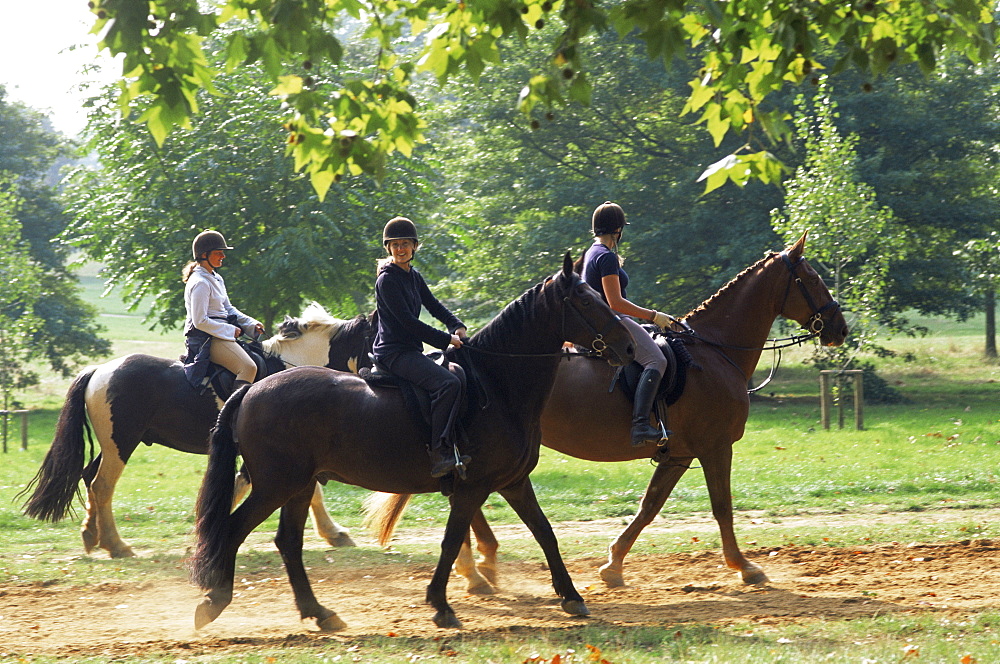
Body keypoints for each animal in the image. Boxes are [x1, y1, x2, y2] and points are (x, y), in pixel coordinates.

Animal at [18, 304, 372, 556]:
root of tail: (99, 371)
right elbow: (301, 491)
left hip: (112, 444)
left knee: (89, 477)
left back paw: (92, 536)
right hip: (122, 443)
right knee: (102, 485)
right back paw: (117, 546)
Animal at [189, 255, 632, 632]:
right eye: (586, 301)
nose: (628, 346)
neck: (496, 386)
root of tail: (253, 389)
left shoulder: (514, 483)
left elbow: (545, 533)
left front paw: (572, 597)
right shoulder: (472, 488)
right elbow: (452, 541)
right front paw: (441, 604)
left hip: (297, 486)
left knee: (288, 543)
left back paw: (319, 613)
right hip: (276, 485)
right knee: (233, 530)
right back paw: (215, 602)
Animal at [364, 235, 848, 592]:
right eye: (811, 278)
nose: (840, 328)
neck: (715, 352)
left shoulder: (678, 453)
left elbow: (650, 506)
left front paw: (613, 565)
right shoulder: (714, 447)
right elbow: (722, 507)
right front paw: (745, 567)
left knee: (472, 496)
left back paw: (479, 566)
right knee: (472, 495)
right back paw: (478, 568)